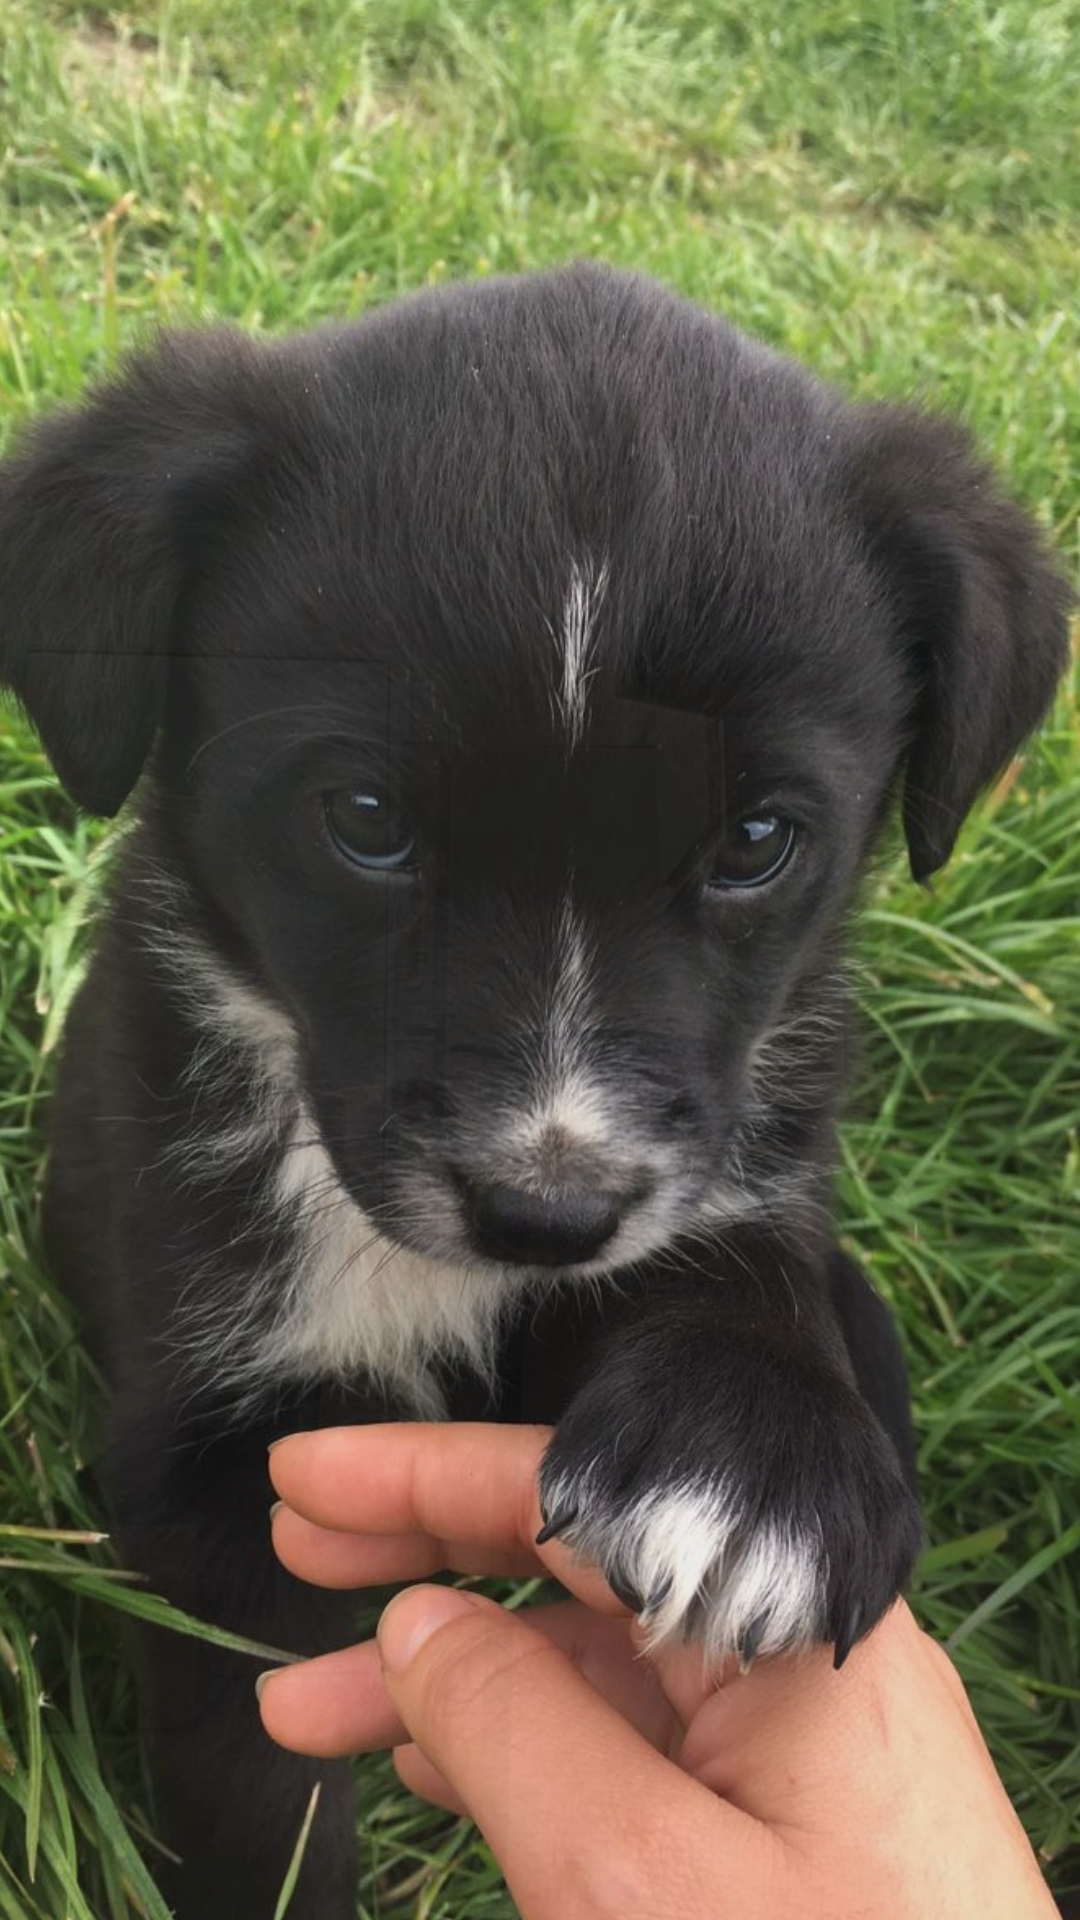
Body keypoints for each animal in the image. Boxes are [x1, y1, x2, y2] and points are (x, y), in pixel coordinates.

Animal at [0, 263, 1069, 1919]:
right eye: (365, 819)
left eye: (755, 840)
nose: (547, 1218)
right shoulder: (214, 1454)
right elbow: (260, 1773)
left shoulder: (737, 1159)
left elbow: (749, 1257)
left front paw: (751, 1453)